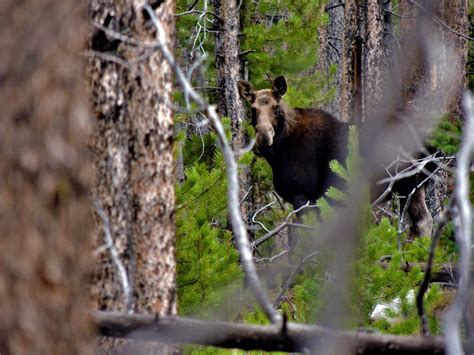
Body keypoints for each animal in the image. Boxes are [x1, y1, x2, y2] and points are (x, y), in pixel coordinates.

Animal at [239, 75, 436, 239]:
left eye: (275, 107)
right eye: (253, 109)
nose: (264, 136)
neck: (279, 153)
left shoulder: (302, 196)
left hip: (409, 181)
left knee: (421, 222)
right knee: (423, 221)